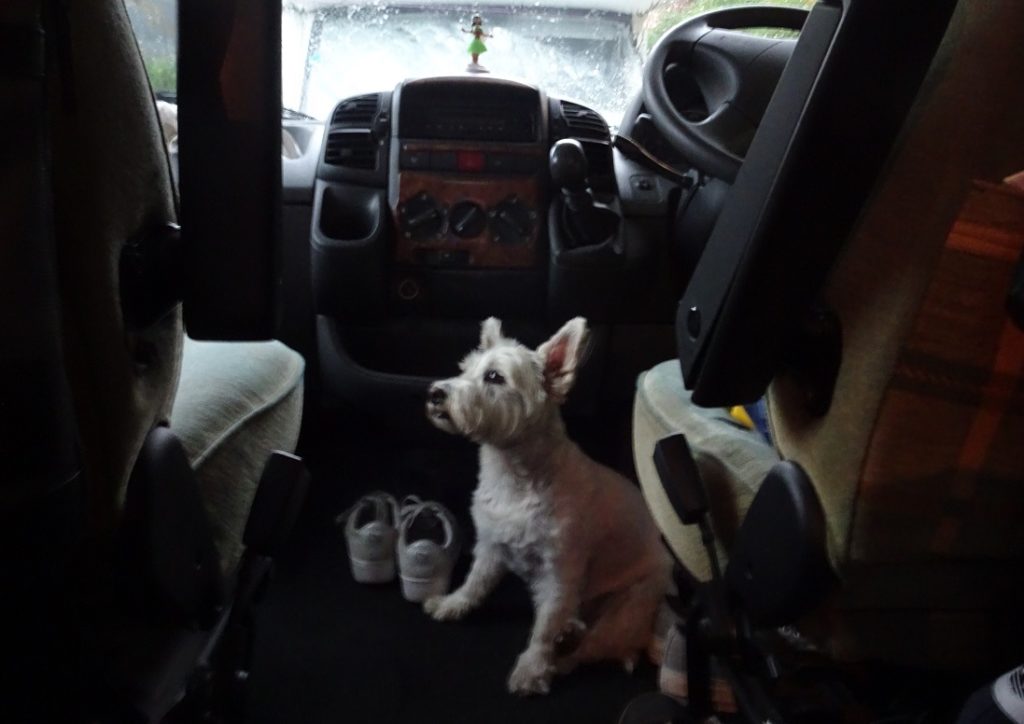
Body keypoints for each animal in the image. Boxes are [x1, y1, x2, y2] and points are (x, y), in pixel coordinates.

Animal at [419, 317, 667, 696]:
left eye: (494, 376)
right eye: (464, 369)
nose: (435, 393)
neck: (515, 476)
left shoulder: (560, 572)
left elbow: (544, 629)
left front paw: (531, 670)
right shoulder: (490, 545)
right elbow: (475, 583)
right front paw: (452, 604)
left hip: (627, 608)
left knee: (589, 648)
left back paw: (558, 660)